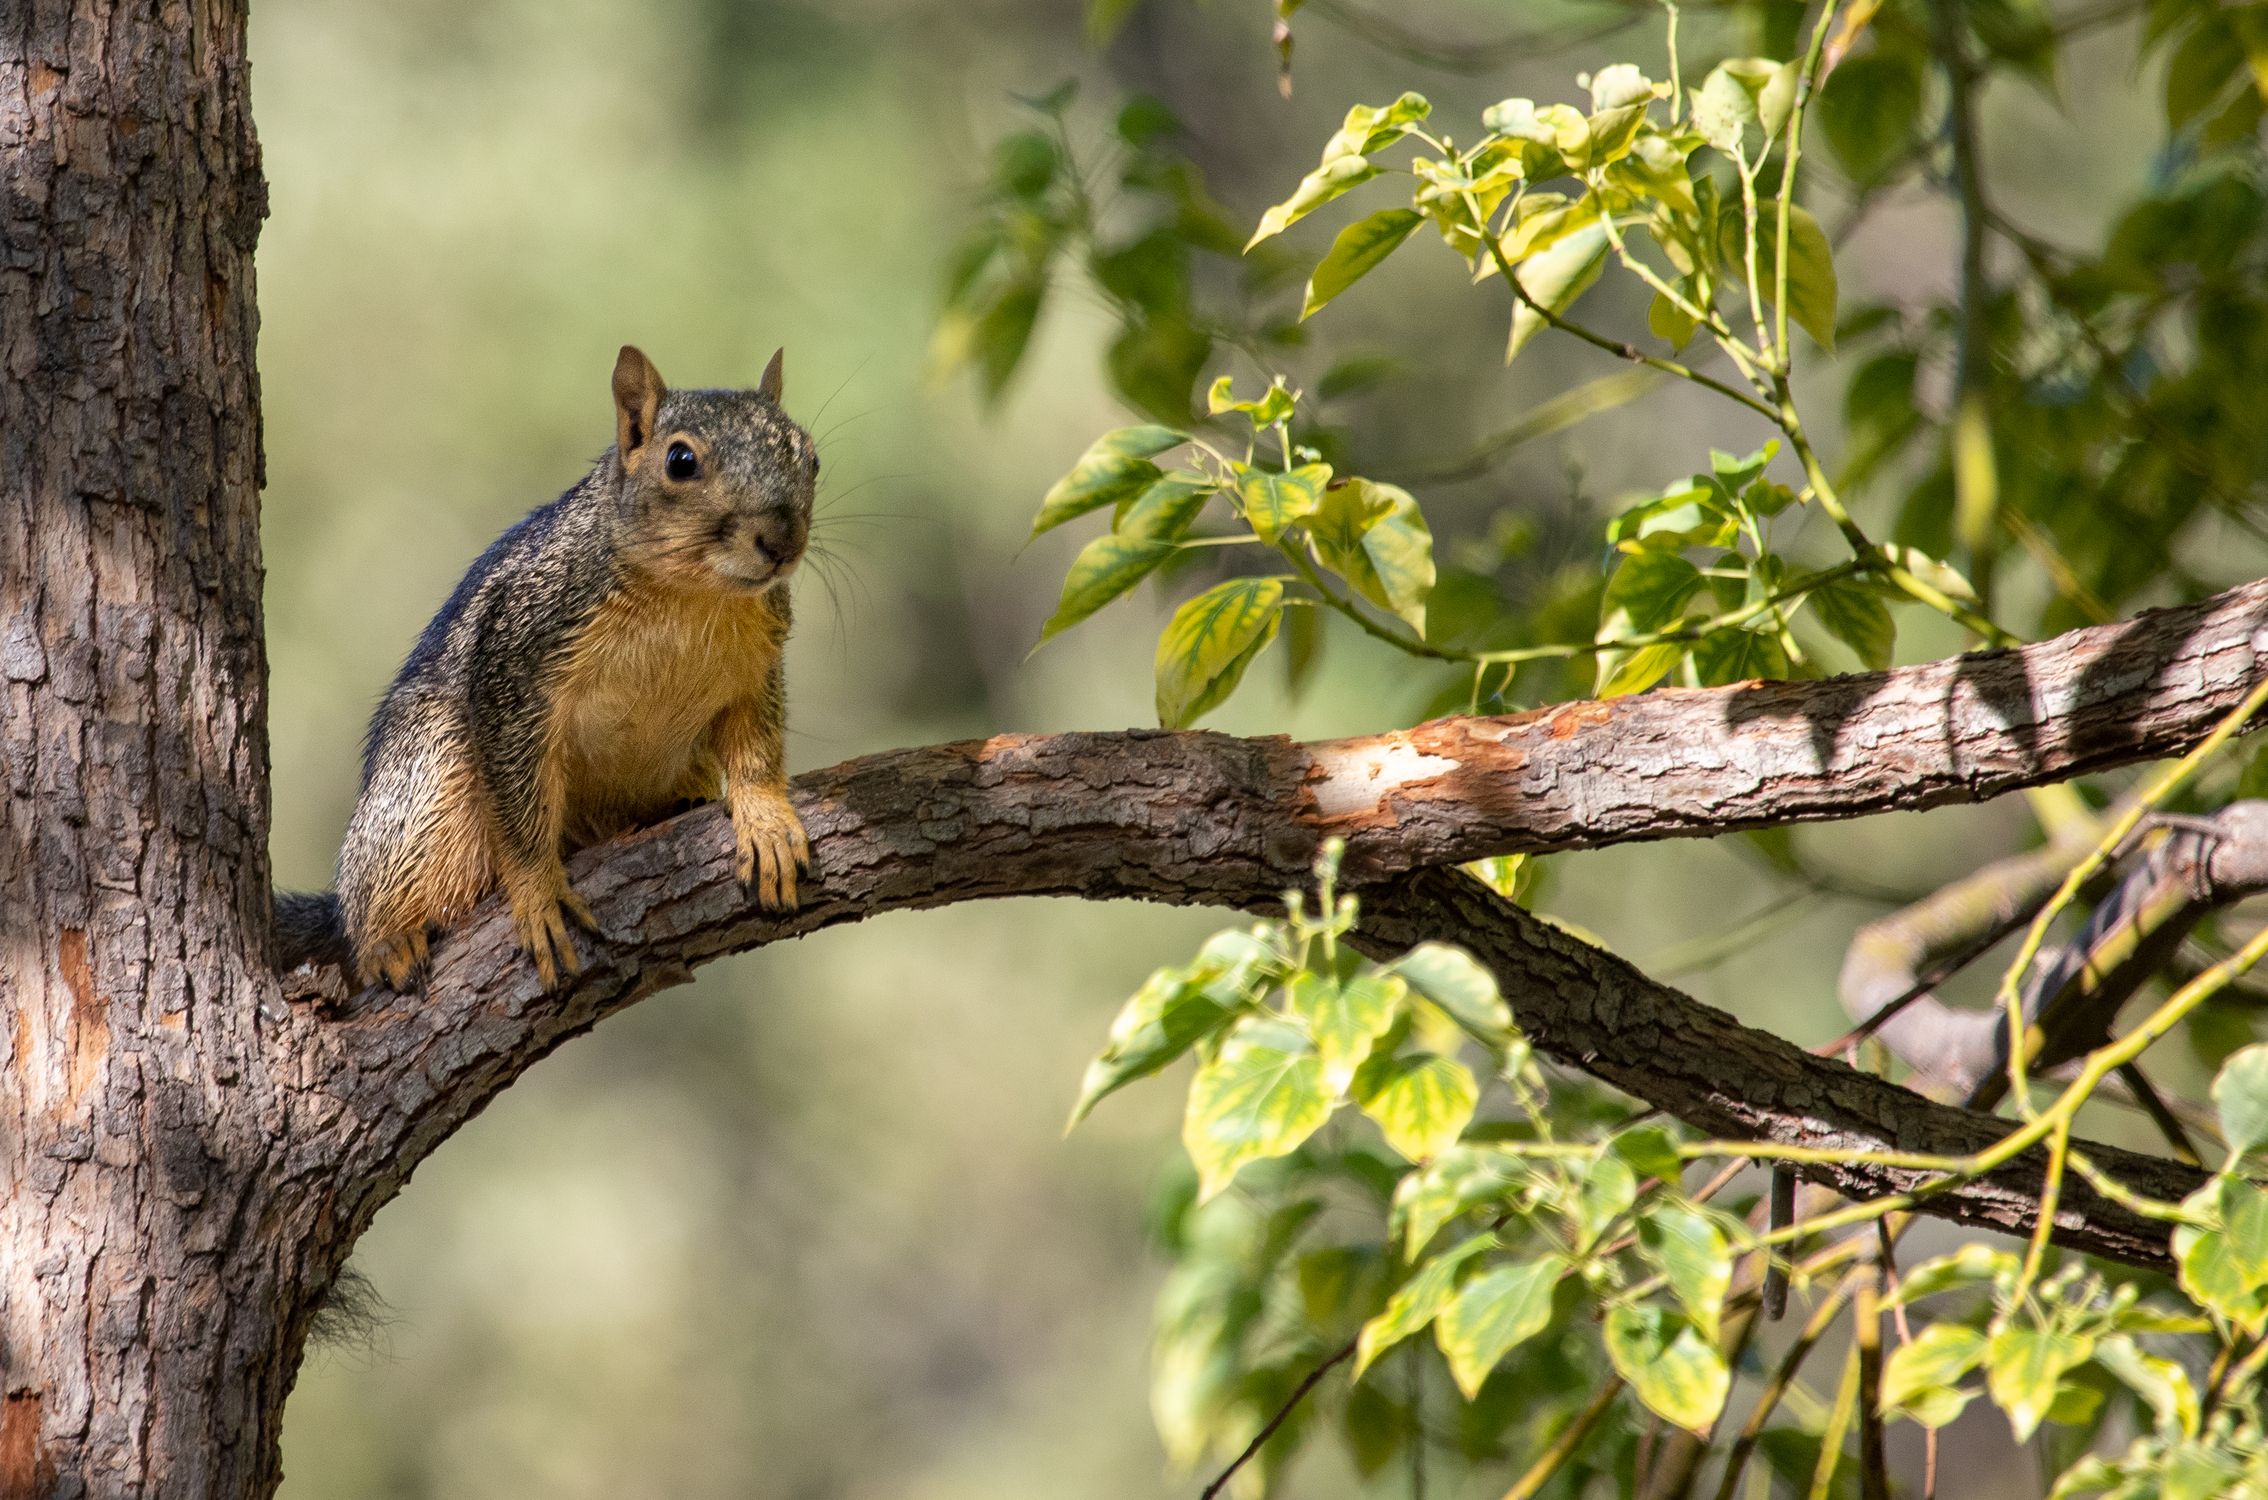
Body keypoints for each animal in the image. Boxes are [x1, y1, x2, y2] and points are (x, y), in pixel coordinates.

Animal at [276, 345, 817, 991]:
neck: (689, 596)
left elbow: (757, 751)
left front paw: (767, 821)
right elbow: (520, 806)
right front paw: (538, 893)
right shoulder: (515, 658)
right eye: (681, 461)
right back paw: (389, 937)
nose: (781, 541)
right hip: (427, 783)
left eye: (812, 457)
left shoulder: (758, 663)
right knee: (380, 888)